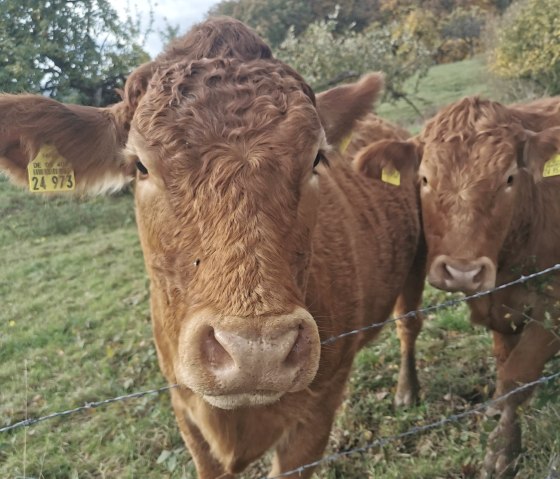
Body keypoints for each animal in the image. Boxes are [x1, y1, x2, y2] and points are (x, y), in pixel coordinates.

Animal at [0, 16, 424, 478]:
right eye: (141, 165)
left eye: (316, 159)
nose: (257, 350)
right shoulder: (186, 412)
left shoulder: (318, 412)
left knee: (409, 323)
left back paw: (407, 390)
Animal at [366, 95, 560, 478]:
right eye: (425, 179)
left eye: (510, 178)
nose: (462, 271)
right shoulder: (498, 305)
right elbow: (505, 364)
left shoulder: (553, 306)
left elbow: (518, 374)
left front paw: (501, 452)